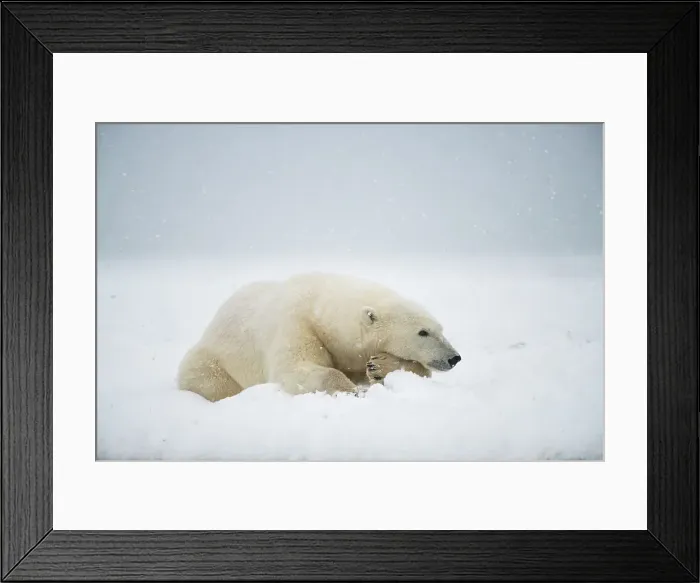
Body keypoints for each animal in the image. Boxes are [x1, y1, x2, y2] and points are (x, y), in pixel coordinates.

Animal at [177, 272, 461, 401]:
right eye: (422, 332)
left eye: (440, 329)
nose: (454, 358)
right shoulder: (296, 324)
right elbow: (294, 370)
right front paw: (355, 392)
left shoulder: (348, 353)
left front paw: (380, 366)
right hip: (212, 362)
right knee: (209, 379)